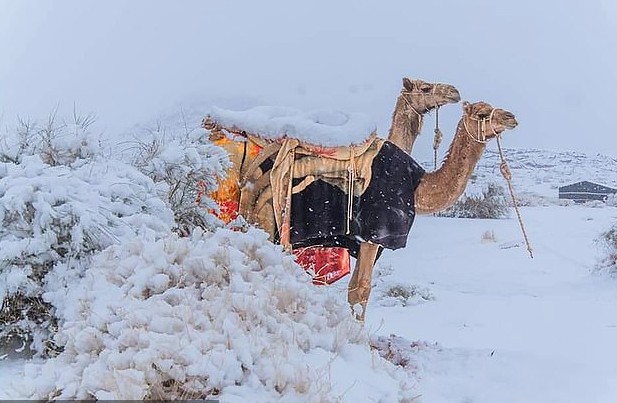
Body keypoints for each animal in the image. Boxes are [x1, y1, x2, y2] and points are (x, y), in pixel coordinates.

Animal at [201, 79, 516, 322]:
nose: (511, 117)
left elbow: (353, 288)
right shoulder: (373, 234)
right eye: (483, 113)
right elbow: (360, 290)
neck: (418, 186)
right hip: (264, 218)